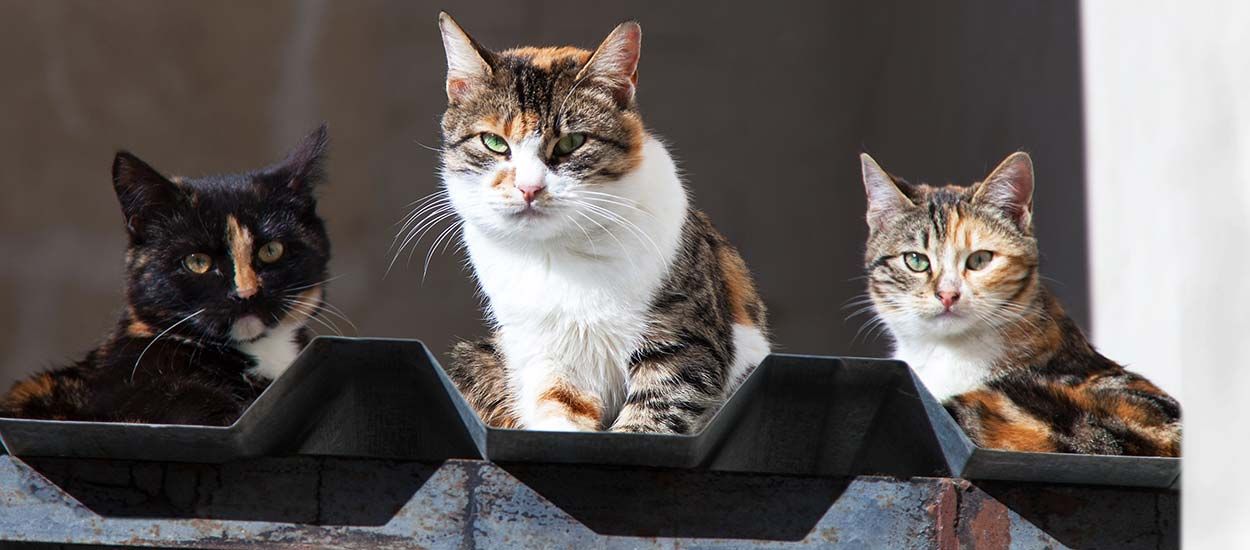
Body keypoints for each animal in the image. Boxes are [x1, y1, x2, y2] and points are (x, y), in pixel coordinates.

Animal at [432, 13, 770, 435]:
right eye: (493, 142)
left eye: (571, 142)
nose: (529, 188)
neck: (560, 257)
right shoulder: (546, 355)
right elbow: (560, 410)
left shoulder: (686, 342)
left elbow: (651, 417)